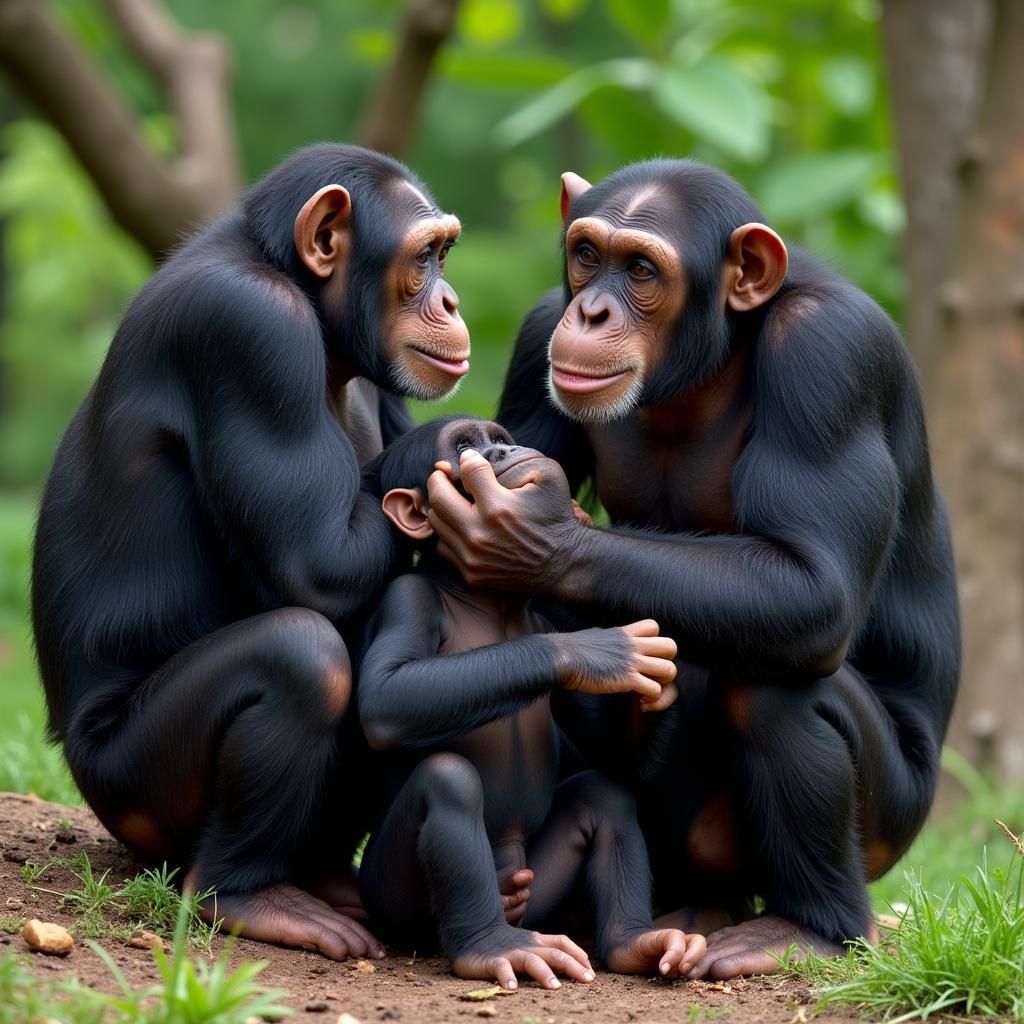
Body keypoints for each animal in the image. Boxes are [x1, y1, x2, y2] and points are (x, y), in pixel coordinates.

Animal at [30, 142, 471, 958]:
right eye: (424, 258)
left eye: (444, 254)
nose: (452, 301)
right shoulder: (251, 331)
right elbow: (316, 567)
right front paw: (452, 442)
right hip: (134, 790)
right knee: (303, 655)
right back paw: (246, 896)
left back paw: (324, 878)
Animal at [354, 415, 704, 991]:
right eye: (465, 447)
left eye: (497, 437)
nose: (501, 451)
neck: (487, 600)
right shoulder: (408, 599)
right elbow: (386, 697)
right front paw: (601, 651)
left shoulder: (539, 615)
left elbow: (613, 761)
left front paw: (660, 689)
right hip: (392, 903)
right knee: (448, 780)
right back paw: (492, 947)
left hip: (538, 889)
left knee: (603, 795)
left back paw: (635, 943)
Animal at [421, 157, 958, 974]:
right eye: (587, 255)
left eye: (642, 270)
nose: (593, 313)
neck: (705, 364)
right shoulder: (539, 331)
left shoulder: (829, 354)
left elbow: (815, 587)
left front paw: (534, 533)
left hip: (893, 825)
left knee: (771, 688)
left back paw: (808, 928)